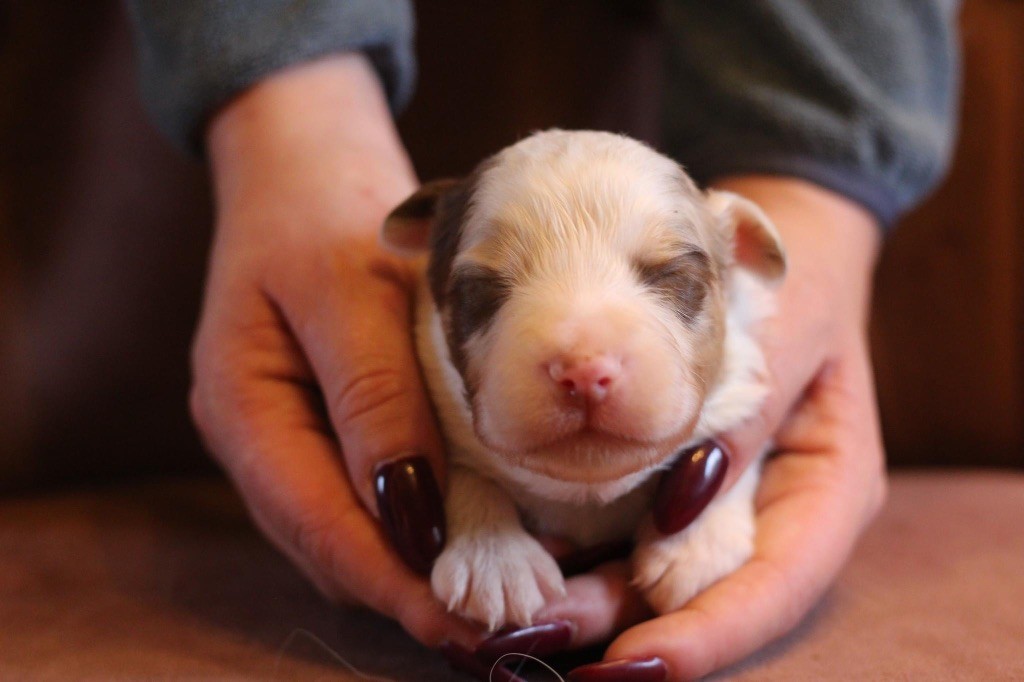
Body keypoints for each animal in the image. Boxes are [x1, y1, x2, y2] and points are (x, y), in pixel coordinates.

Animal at [382, 130, 782, 630]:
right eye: (481, 290)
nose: (584, 370)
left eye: (673, 276)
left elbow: (730, 447)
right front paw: (493, 558)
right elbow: (465, 469)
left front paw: (695, 543)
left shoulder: (743, 383)